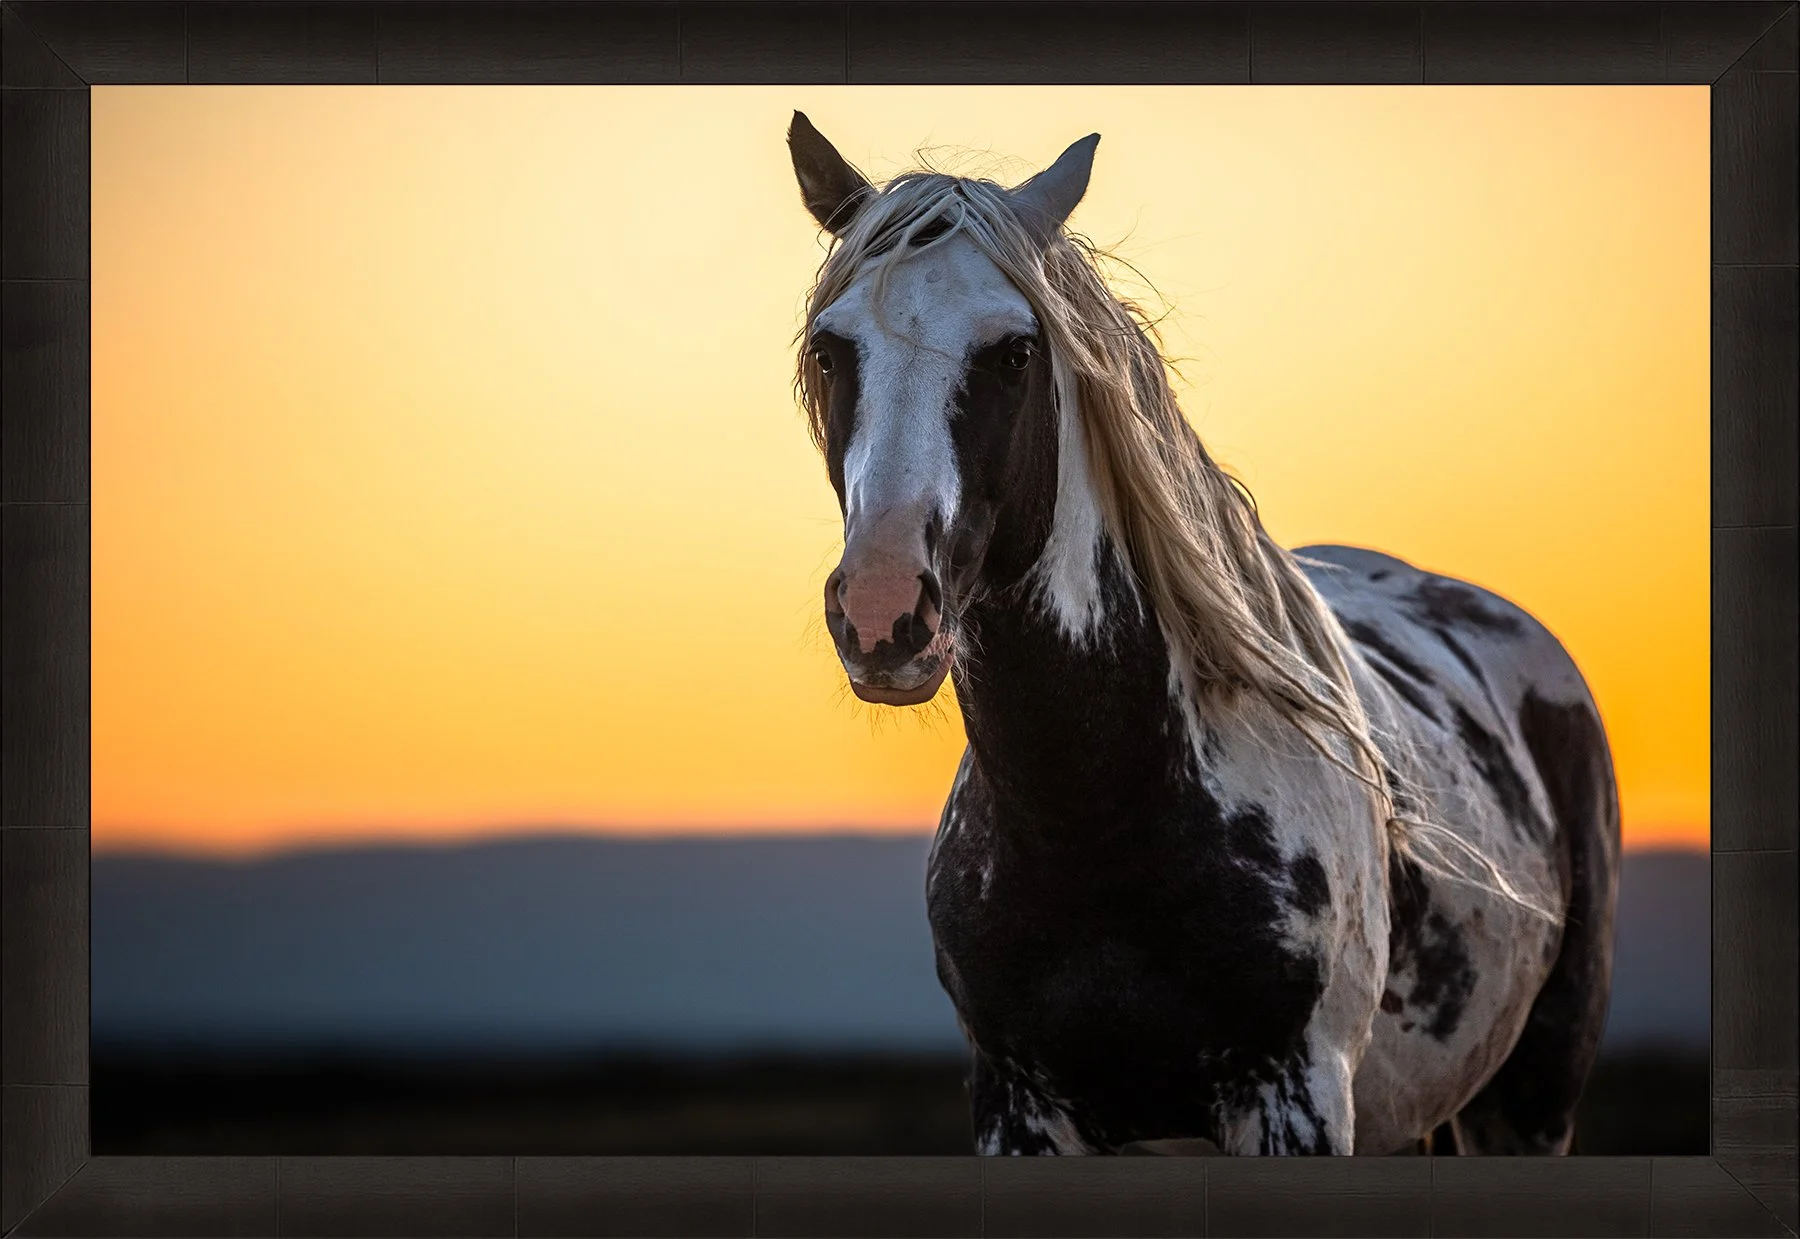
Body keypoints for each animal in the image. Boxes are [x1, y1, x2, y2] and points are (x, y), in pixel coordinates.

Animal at [785, 112, 1620, 1156]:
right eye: (830, 348)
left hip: (1532, 1095)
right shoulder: (1021, 1108)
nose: (884, 608)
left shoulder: (1294, 1098)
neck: (1097, 817)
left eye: (1016, 352)